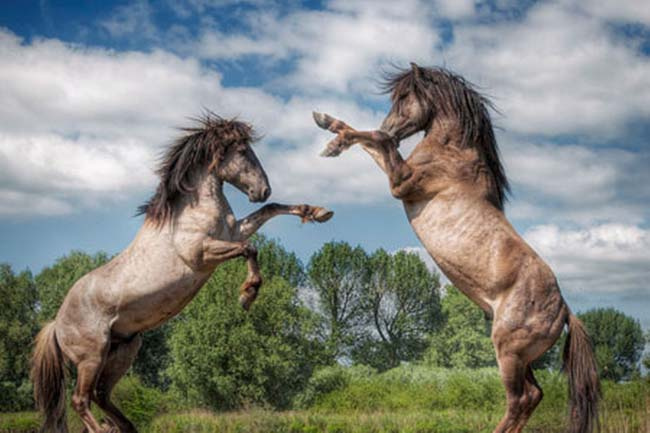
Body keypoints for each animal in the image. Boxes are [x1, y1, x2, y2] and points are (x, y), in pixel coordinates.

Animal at [29, 113, 334, 430]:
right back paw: (102, 429)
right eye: (241, 151)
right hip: (92, 357)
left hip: (123, 350)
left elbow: (270, 212)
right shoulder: (203, 253)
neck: (192, 210)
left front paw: (317, 212)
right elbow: (250, 249)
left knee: (101, 395)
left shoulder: (233, 232)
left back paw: (126, 427)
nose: (262, 190)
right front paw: (248, 294)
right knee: (81, 399)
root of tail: (56, 323)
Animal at [312, 63, 596, 432]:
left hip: (508, 351)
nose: (391, 126)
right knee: (533, 396)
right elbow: (370, 143)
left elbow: (378, 141)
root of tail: (564, 310)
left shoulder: (401, 182)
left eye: (405, 96)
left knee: (519, 399)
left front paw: (332, 132)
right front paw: (331, 135)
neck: (452, 154)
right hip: (521, 358)